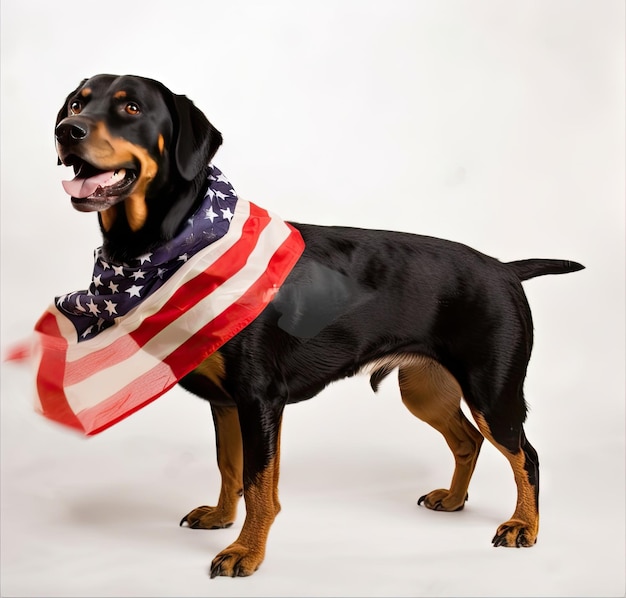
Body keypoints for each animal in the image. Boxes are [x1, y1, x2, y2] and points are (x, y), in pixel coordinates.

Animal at [54, 72, 584, 580]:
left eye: (131, 107)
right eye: (77, 103)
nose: (66, 131)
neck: (179, 245)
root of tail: (504, 269)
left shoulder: (260, 399)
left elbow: (258, 483)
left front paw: (246, 553)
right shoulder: (227, 403)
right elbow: (230, 467)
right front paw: (223, 520)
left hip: (492, 391)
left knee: (525, 455)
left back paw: (524, 526)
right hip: (426, 389)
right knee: (467, 441)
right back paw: (453, 501)